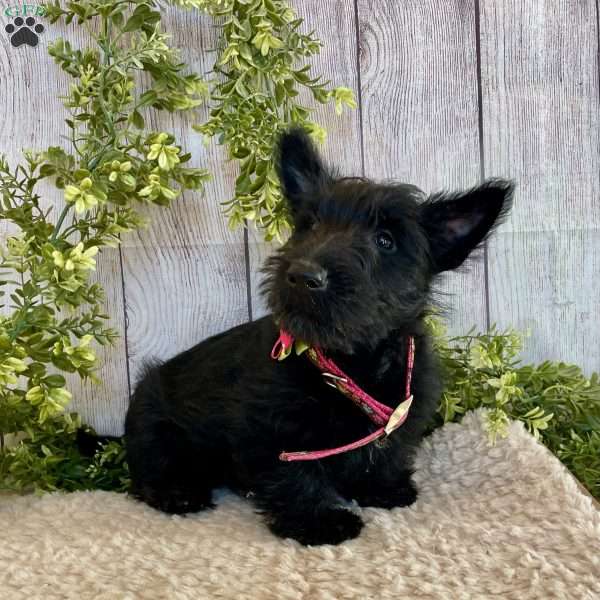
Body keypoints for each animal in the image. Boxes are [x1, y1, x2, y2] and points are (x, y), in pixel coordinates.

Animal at [124, 129, 512, 548]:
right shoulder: (276, 431)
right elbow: (294, 476)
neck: (350, 362)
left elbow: (387, 453)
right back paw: (177, 492)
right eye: (310, 225)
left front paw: (383, 488)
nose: (303, 275)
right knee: (149, 472)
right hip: (155, 428)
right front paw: (318, 521)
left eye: (386, 240)